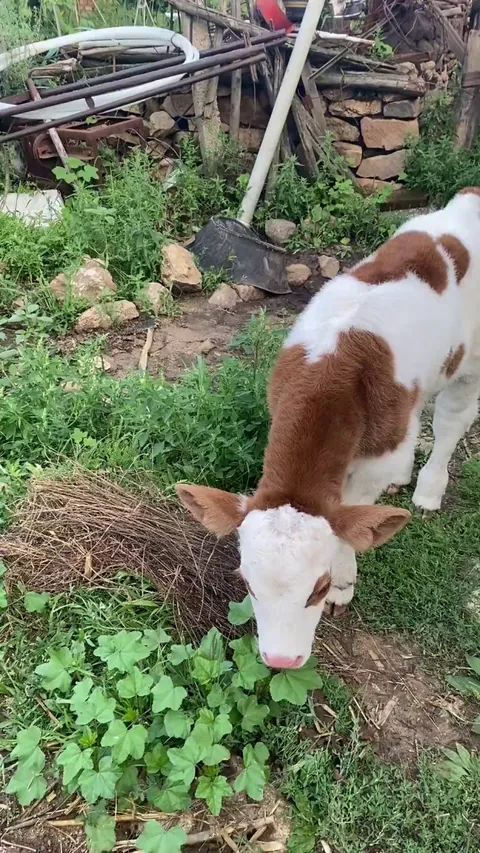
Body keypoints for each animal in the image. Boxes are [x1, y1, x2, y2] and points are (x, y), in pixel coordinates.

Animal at [177, 188, 480, 670]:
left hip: (472, 363)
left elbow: (352, 517)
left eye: (316, 589)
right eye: (247, 583)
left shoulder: (372, 458)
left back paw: (429, 490)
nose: (281, 660)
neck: (331, 370)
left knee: (453, 417)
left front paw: (344, 581)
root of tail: (468, 198)